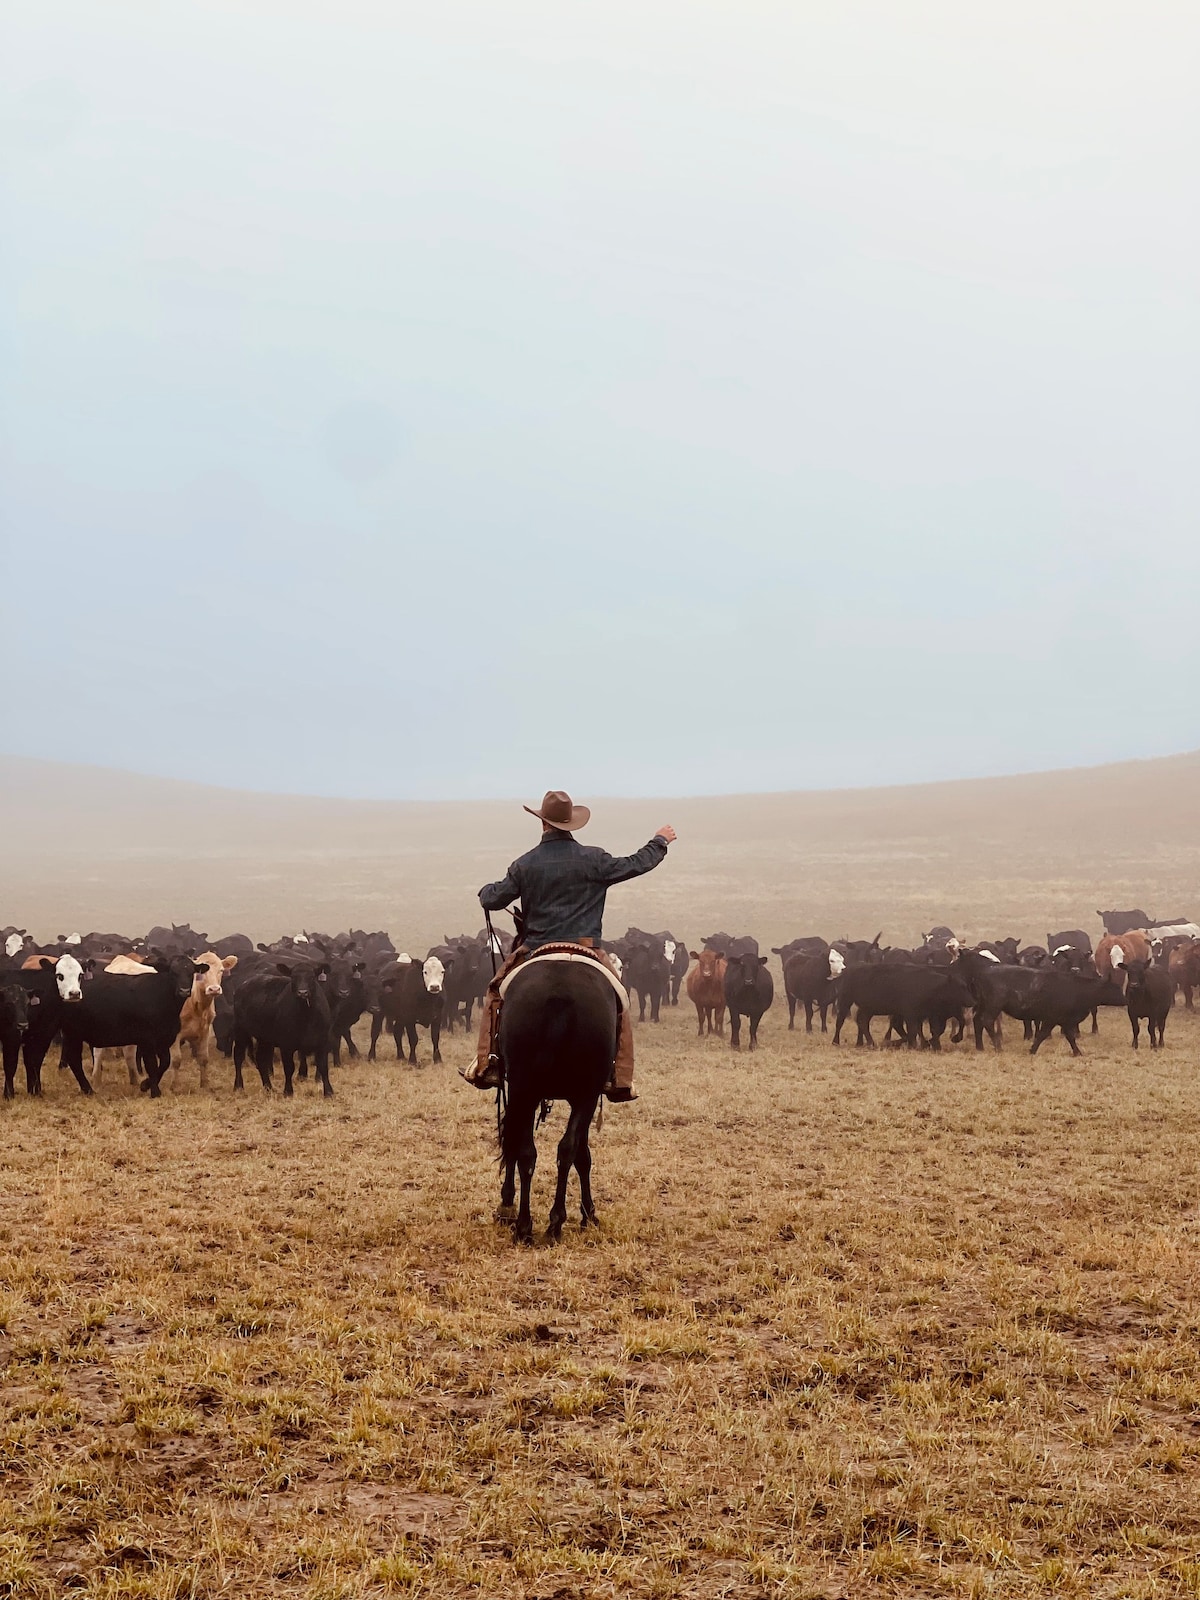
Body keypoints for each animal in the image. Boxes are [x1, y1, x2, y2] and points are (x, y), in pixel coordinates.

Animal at [499, 953, 620, 1241]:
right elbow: (582, 1155)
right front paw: (589, 1213)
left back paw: (526, 1224)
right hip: (581, 1093)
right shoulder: (585, 1098)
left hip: (526, 1088)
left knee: (527, 1151)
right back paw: (553, 1223)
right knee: (564, 1150)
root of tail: (559, 995)